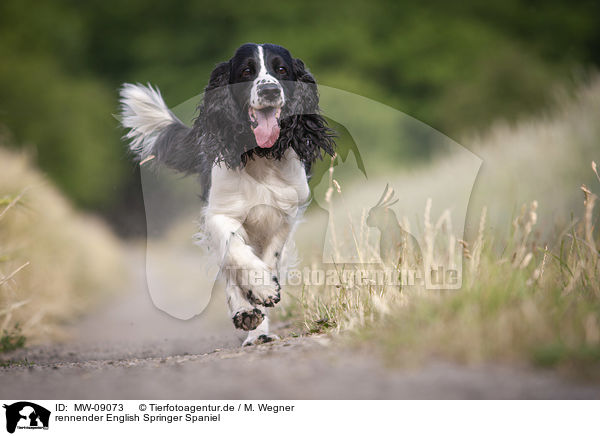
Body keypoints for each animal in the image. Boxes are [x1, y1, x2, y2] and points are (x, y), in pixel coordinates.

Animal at [119, 43, 336, 344]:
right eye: (246, 71)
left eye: (281, 69)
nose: (270, 90)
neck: (261, 157)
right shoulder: (218, 213)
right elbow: (234, 250)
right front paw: (260, 290)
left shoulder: (283, 218)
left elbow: (268, 258)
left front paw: (262, 302)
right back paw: (245, 311)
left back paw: (257, 329)